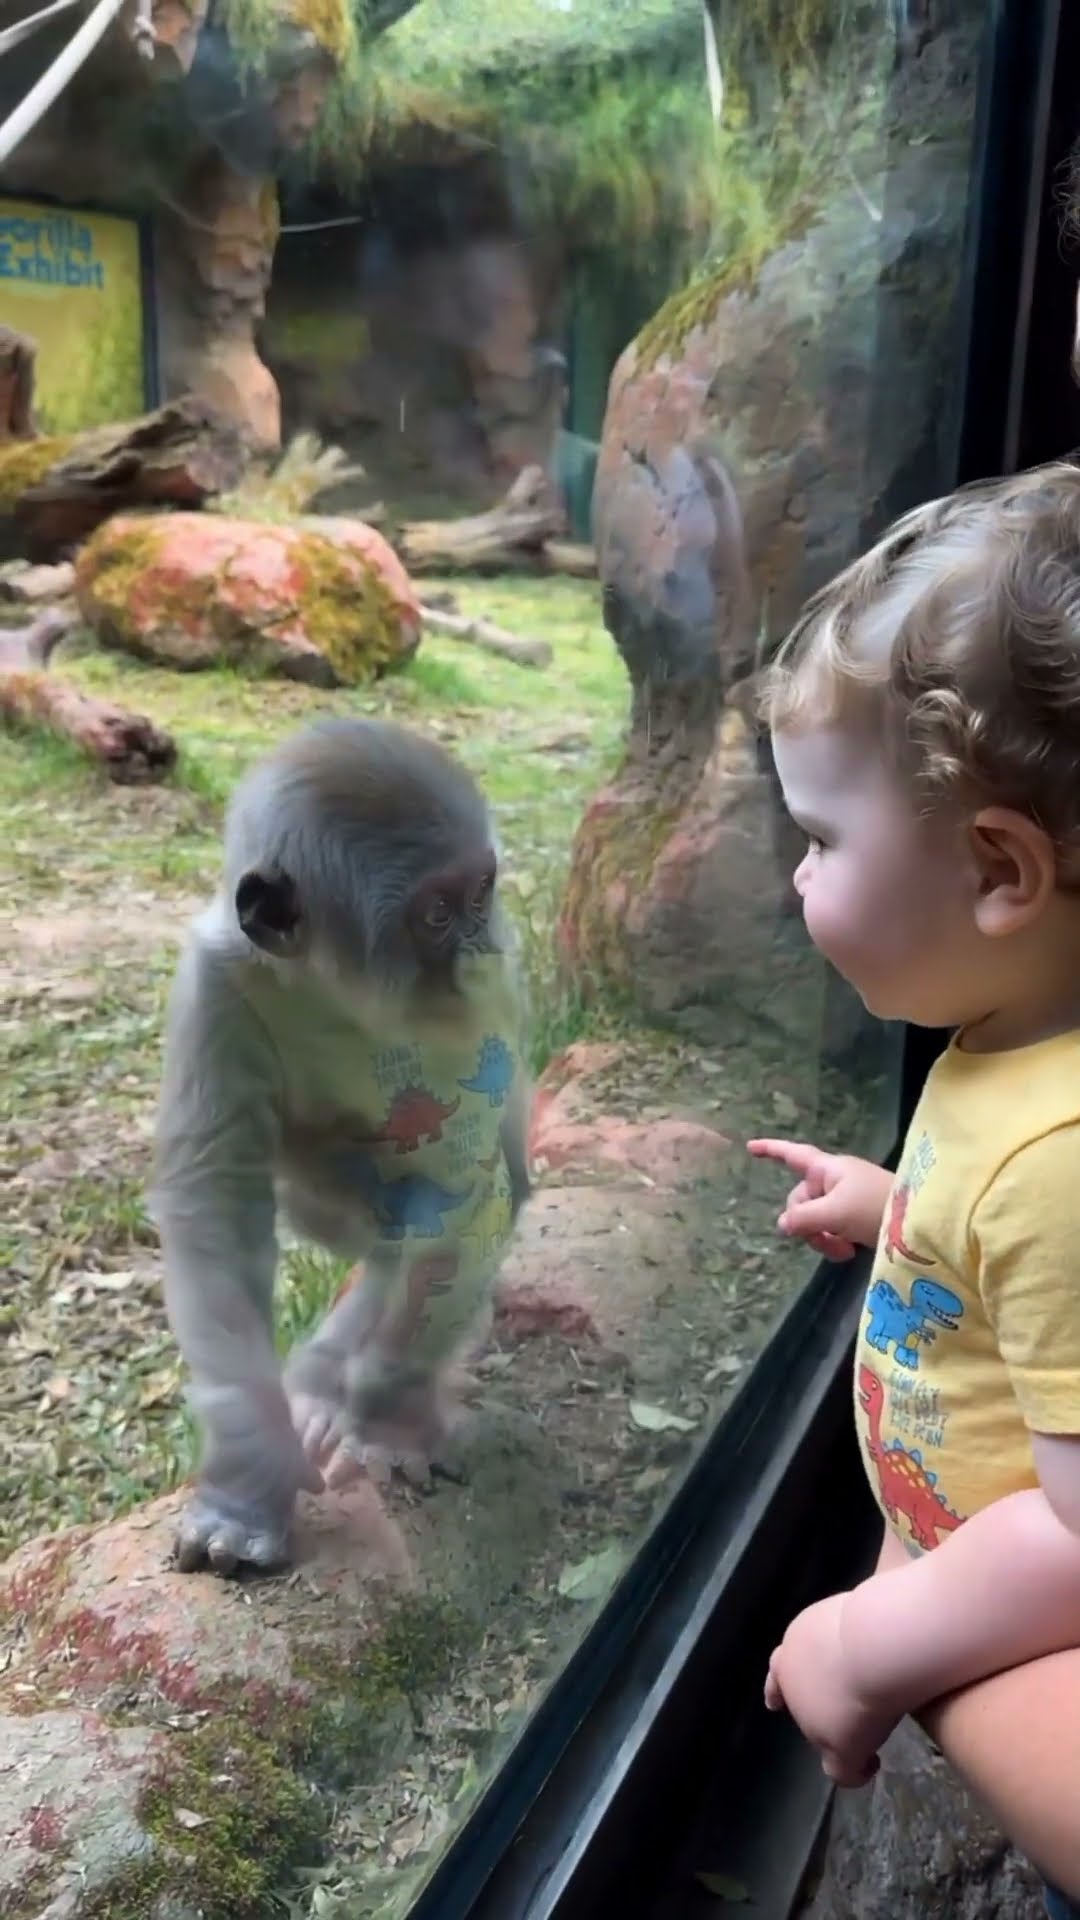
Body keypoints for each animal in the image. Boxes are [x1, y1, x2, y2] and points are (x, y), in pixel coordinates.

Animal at [150, 716, 532, 1576]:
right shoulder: (216, 985)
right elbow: (216, 1213)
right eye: (436, 914)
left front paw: (390, 1419)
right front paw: (248, 1480)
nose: (480, 949)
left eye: (480, 893)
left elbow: (463, 1195)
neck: (334, 991)